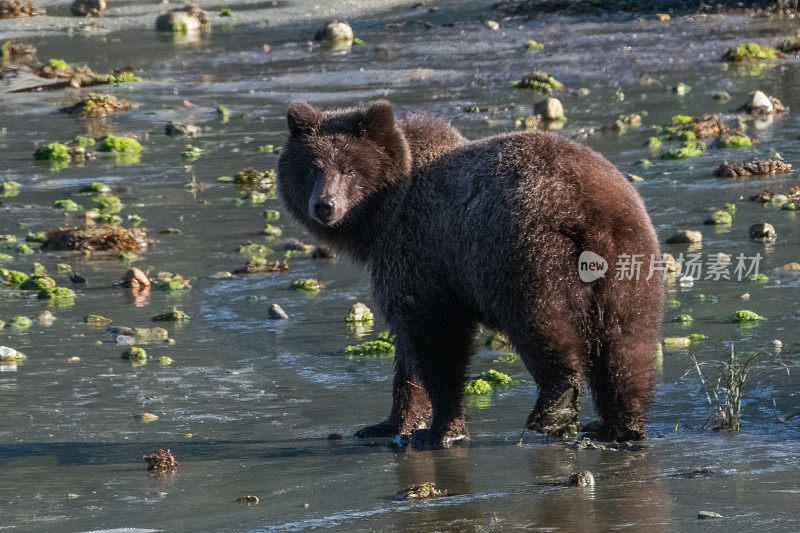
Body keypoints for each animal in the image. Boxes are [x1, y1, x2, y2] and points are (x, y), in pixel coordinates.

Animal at [278, 101, 664, 448]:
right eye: (312, 168)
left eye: (349, 169)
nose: (324, 205)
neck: (381, 215)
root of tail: (588, 206)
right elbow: (409, 350)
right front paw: (389, 425)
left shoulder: (421, 250)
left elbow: (435, 339)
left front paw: (439, 430)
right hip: (629, 256)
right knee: (629, 343)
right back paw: (618, 426)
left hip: (524, 252)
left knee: (544, 325)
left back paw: (554, 411)